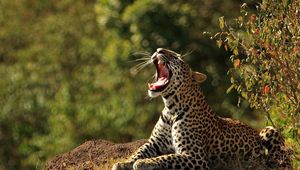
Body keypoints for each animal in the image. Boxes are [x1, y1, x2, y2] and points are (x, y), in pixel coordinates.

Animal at [112, 48, 290, 170]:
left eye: (176, 57)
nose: (158, 50)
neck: (171, 107)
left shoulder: (195, 156)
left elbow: (167, 158)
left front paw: (143, 163)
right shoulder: (153, 143)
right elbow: (138, 150)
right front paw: (123, 163)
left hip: (269, 130)